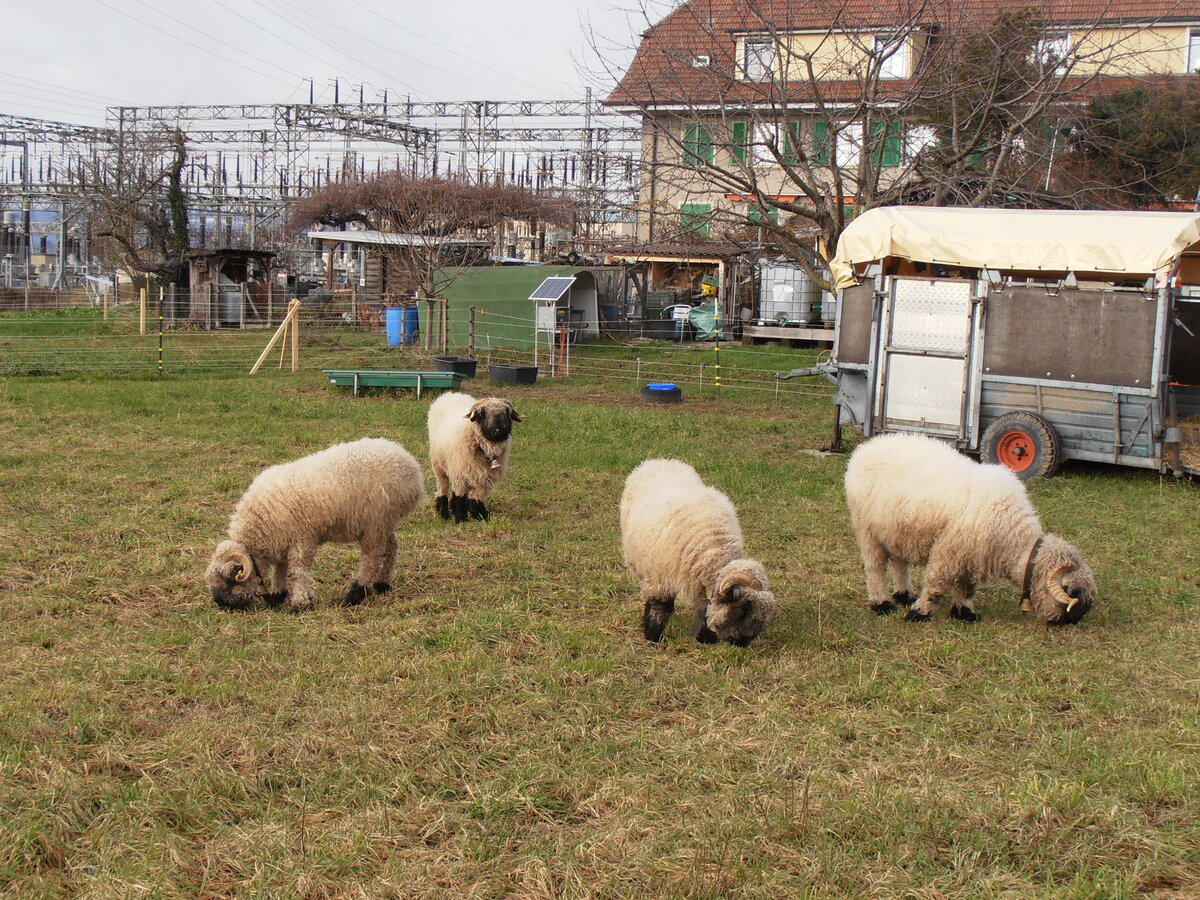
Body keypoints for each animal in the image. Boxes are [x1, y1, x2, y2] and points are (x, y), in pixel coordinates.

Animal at [204, 438, 425, 613]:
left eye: (229, 579)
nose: (221, 605)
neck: (261, 523)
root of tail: (408, 462)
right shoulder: (282, 540)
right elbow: (281, 569)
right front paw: (278, 594)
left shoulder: (303, 539)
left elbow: (297, 571)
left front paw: (301, 604)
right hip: (386, 521)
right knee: (391, 548)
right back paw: (382, 584)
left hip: (375, 522)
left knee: (371, 558)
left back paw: (356, 594)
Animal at [427, 391, 523, 523]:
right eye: (483, 414)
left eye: (506, 414)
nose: (498, 431)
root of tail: (452, 394)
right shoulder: (461, 474)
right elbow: (461, 498)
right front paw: (461, 519)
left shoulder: (487, 479)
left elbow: (475, 497)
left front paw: (482, 516)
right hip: (438, 464)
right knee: (443, 486)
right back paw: (443, 513)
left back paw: (452, 508)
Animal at [620, 459, 778, 646]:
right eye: (742, 610)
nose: (742, 643)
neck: (713, 549)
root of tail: (659, 460)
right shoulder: (659, 581)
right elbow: (659, 609)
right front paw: (653, 637)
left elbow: (705, 609)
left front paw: (706, 639)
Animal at [843, 433, 1096, 625]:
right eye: (1071, 591)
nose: (1069, 623)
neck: (1012, 534)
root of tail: (869, 446)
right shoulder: (949, 552)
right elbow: (936, 585)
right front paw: (919, 613)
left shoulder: (972, 554)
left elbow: (966, 588)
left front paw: (964, 613)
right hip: (867, 529)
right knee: (875, 568)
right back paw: (882, 603)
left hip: (897, 527)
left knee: (899, 562)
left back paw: (904, 594)